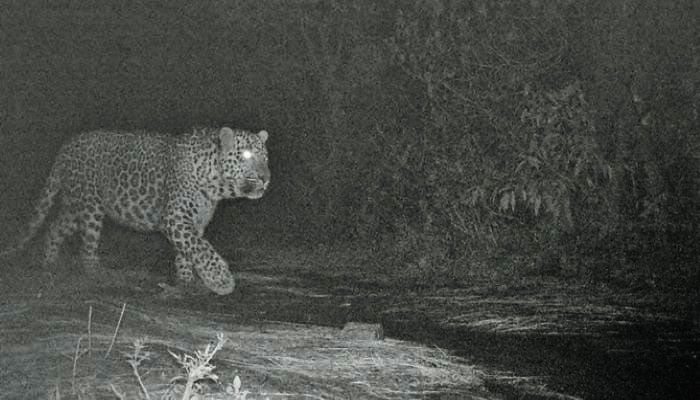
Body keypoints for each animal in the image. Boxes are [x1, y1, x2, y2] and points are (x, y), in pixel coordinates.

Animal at [3, 126, 270, 295]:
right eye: (246, 155)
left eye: (265, 158)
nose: (265, 178)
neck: (215, 185)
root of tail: (66, 146)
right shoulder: (174, 217)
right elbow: (201, 248)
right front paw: (221, 281)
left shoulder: (194, 221)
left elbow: (188, 251)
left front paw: (185, 282)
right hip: (90, 208)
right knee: (86, 247)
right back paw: (96, 275)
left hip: (74, 205)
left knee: (54, 226)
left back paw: (49, 263)